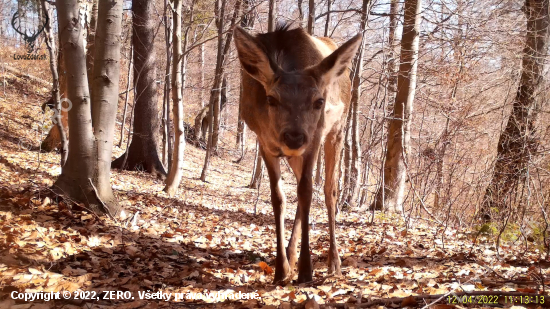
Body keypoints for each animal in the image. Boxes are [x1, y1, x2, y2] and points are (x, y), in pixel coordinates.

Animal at [235, 22, 364, 282]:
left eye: (319, 101)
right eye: (271, 99)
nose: (294, 136)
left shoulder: (314, 137)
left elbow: (306, 191)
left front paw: (306, 270)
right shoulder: (264, 142)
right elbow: (278, 197)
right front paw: (281, 269)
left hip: (337, 130)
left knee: (329, 190)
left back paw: (334, 263)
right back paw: (291, 254)